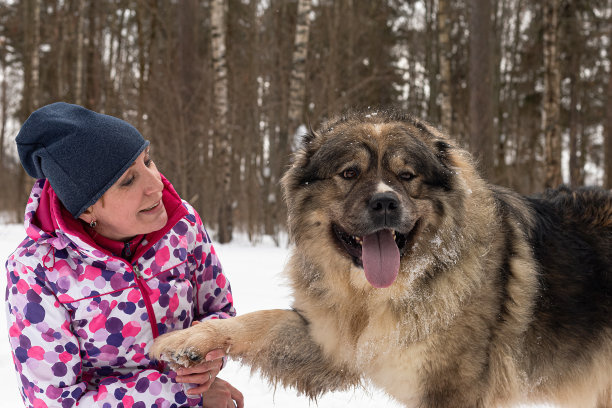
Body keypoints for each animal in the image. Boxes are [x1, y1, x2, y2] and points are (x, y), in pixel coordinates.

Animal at [149, 110, 612, 406]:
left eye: (406, 176)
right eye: (350, 173)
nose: (386, 203)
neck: (375, 297)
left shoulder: (452, 392)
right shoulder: (334, 344)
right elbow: (256, 321)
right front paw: (188, 340)